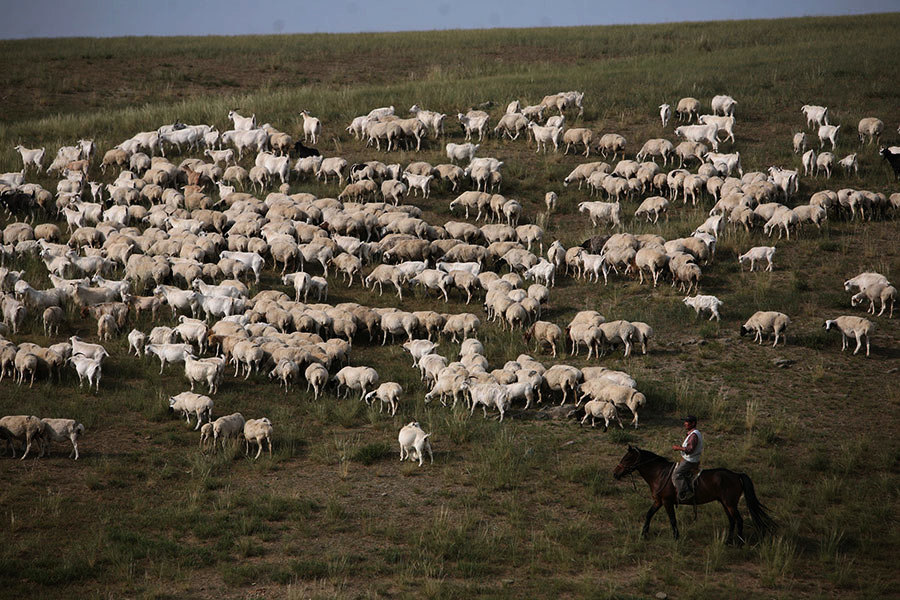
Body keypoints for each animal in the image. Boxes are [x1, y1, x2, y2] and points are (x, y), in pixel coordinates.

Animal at [616, 442, 776, 548]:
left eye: (627, 458)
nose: (615, 473)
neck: (659, 473)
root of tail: (737, 475)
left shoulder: (667, 502)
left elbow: (672, 520)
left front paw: (676, 538)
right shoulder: (658, 501)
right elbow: (649, 514)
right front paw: (643, 535)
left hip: (730, 504)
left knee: (739, 520)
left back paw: (740, 543)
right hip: (725, 503)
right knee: (732, 521)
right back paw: (728, 542)